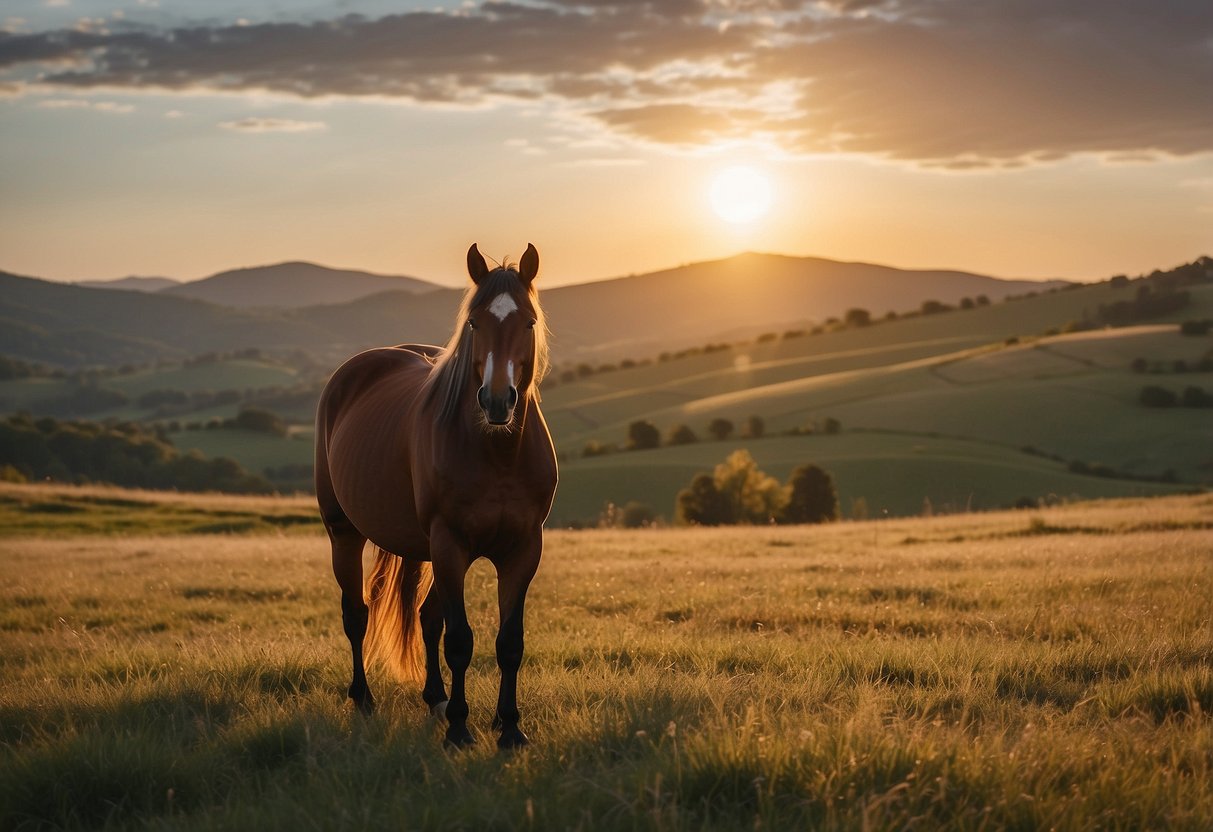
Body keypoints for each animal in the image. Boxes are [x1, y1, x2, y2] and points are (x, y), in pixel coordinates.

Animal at [312, 244, 557, 751]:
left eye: (528, 322)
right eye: (474, 323)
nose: (497, 401)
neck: (497, 453)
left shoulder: (524, 549)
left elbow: (509, 642)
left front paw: (509, 727)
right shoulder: (450, 546)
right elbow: (460, 640)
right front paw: (461, 729)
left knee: (425, 618)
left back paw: (436, 699)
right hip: (344, 533)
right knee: (356, 615)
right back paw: (363, 699)